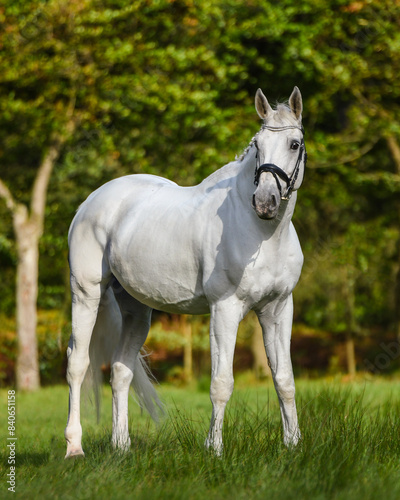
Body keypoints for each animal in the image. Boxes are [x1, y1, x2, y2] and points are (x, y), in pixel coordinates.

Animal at [64, 85, 306, 458]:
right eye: (258, 144)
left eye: (294, 144)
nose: (264, 202)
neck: (264, 234)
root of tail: (90, 202)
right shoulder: (225, 309)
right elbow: (221, 383)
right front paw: (214, 450)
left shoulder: (278, 309)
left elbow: (285, 380)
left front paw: (292, 447)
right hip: (86, 294)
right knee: (77, 364)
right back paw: (74, 448)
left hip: (137, 309)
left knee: (120, 370)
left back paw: (122, 447)